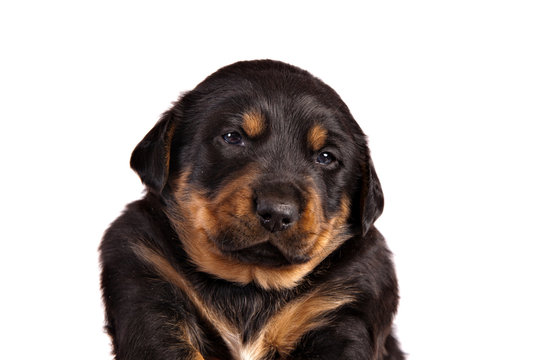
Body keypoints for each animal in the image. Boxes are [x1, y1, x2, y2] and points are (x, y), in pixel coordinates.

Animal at [100, 60, 404, 358]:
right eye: (232, 137)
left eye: (326, 157)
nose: (277, 212)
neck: (251, 284)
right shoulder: (147, 281)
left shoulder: (347, 303)